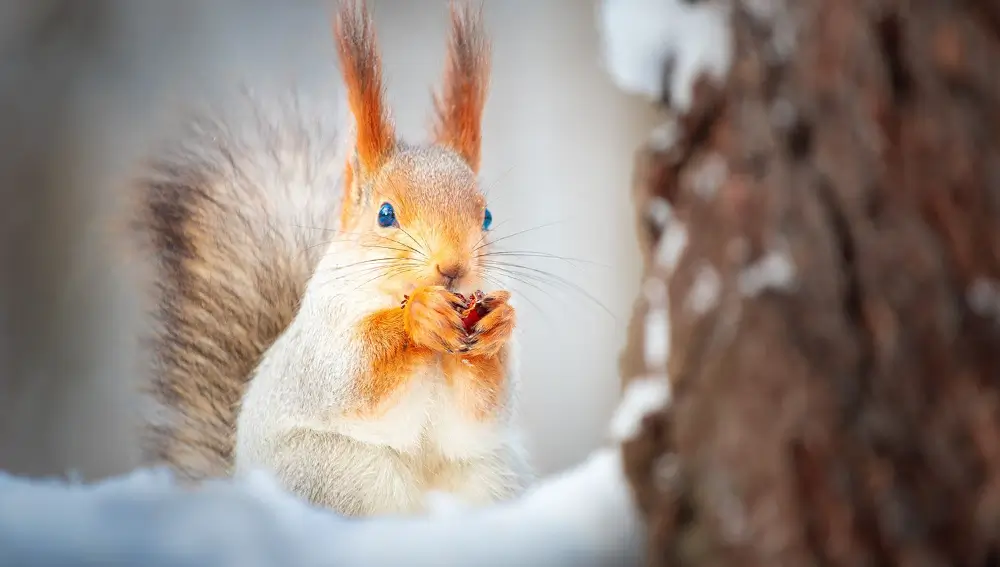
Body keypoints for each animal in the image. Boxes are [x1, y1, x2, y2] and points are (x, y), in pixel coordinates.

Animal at [139, 0, 540, 516]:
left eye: (487, 216)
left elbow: (484, 407)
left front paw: (498, 325)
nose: (452, 268)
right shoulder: (324, 331)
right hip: (339, 474)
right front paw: (418, 318)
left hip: (492, 477)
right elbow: (351, 373)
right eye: (385, 214)